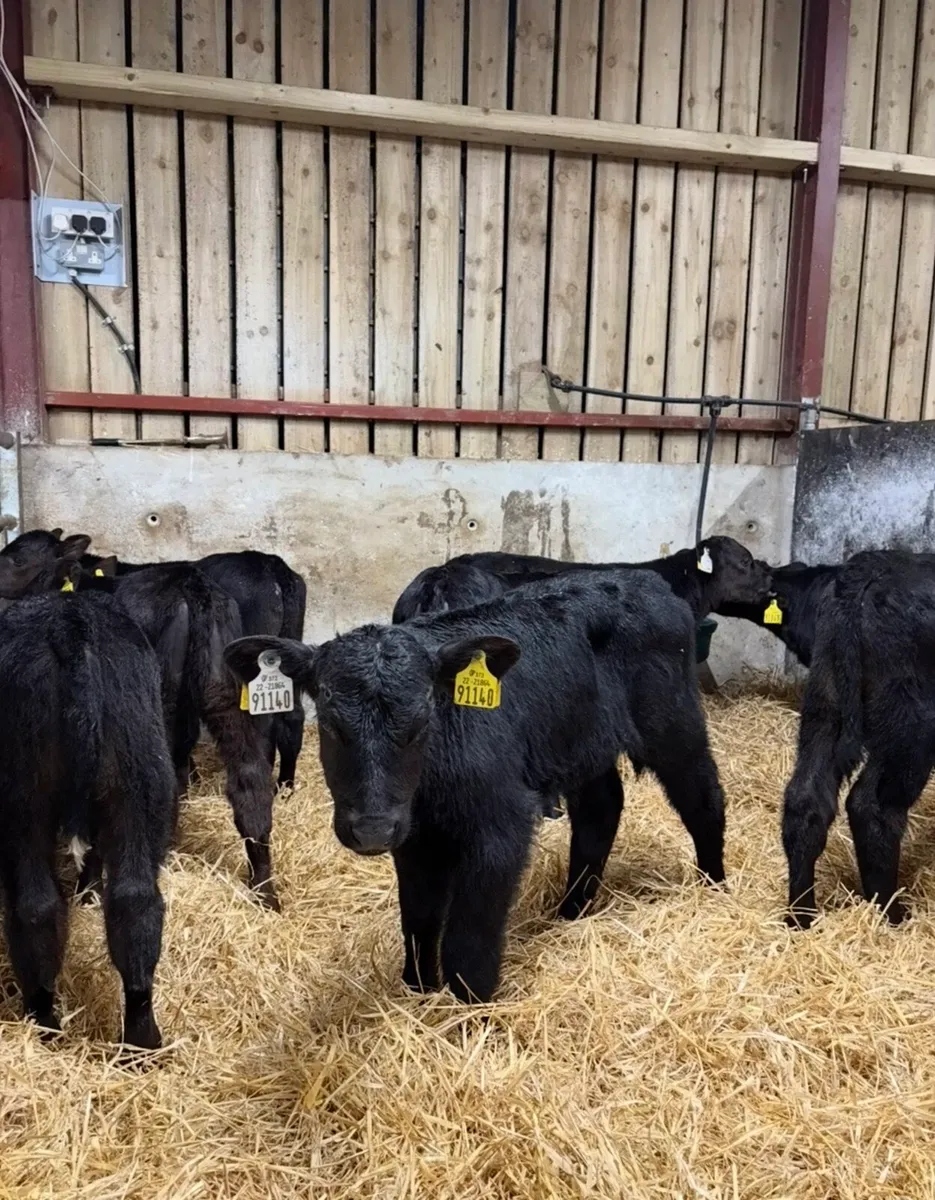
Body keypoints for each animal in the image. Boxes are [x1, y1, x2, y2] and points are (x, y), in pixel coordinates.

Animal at [0, 578, 175, 1048]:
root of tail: (69, 625)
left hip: (25, 794)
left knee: (37, 906)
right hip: (134, 781)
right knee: (131, 903)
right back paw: (136, 1038)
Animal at [225, 569, 725, 1003]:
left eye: (422, 721)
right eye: (330, 725)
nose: (371, 830)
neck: (431, 788)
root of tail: (644, 579)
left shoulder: (502, 826)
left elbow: (468, 939)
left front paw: (470, 1012)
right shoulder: (413, 834)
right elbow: (419, 919)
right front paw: (417, 990)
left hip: (672, 719)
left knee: (703, 797)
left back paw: (714, 886)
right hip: (582, 741)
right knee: (599, 811)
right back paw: (571, 911)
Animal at [781, 550, 935, 928]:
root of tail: (868, 570)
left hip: (826, 701)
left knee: (806, 799)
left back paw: (801, 916)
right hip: (911, 724)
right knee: (873, 806)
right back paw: (891, 912)